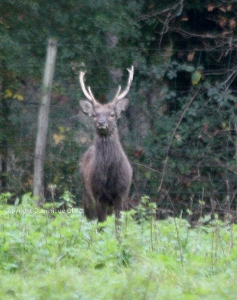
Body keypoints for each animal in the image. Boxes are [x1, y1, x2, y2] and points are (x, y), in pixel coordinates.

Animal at [79, 67, 133, 224]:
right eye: (94, 114)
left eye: (112, 114)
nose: (101, 123)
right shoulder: (98, 195)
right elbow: (101, 225)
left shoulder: (121, 195)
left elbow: (118, 225)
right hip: (86, 194)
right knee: (89, 219)